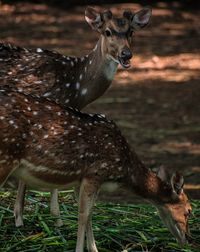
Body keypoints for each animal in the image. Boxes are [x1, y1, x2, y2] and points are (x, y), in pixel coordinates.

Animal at [0, 5, 152, 227]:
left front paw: (53, 217)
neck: (76, 89)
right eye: (107, 32)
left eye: (131, 31)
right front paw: (22, 217)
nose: (126, 54)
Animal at [0, 89, 191, 252]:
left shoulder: (82, 180)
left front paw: (93, 248)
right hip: (5, 159)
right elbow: (83, 215)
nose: (188, 239)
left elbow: (90, 213)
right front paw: (80, 249)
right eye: (189, 211)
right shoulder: (95, 174)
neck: (121, 172)